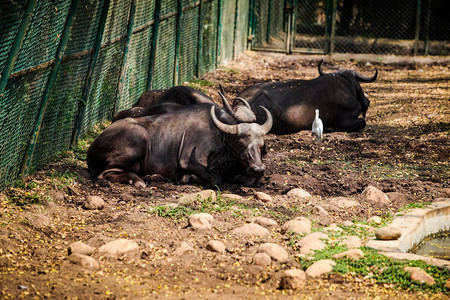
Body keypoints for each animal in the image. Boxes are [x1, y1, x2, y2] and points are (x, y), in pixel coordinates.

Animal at [86, 103, 272, 188]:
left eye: (261, 144)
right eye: (240, 143)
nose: (258, 169)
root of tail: (91, 147)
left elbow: (249, 180)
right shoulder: (187, 160)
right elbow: (215, 179)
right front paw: (187, 178)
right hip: (139, 137)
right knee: (105, 174)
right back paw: (139, 181)